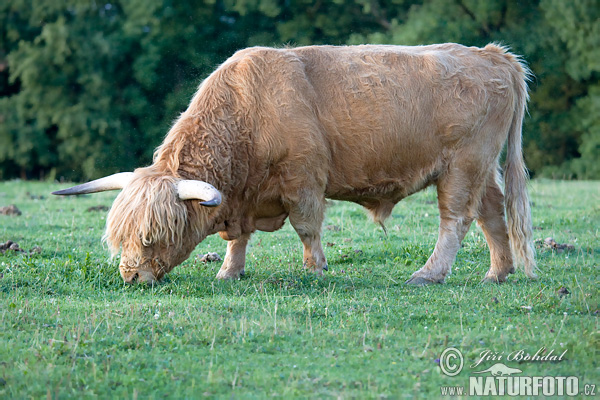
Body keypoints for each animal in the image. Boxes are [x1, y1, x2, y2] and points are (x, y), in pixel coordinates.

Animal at [54, 43, 536, 284]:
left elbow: (307, 227)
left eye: (153, 235)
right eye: (120, 236)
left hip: (464, 164)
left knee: (456, 218)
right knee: (493, 213)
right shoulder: (242, 197)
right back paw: (498, 273)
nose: (131, 276)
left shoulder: (304, 177)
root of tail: (493, 54)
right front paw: (228, 273)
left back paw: (429, 274)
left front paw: (316, 269)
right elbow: (238, 239)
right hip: (482, 168)